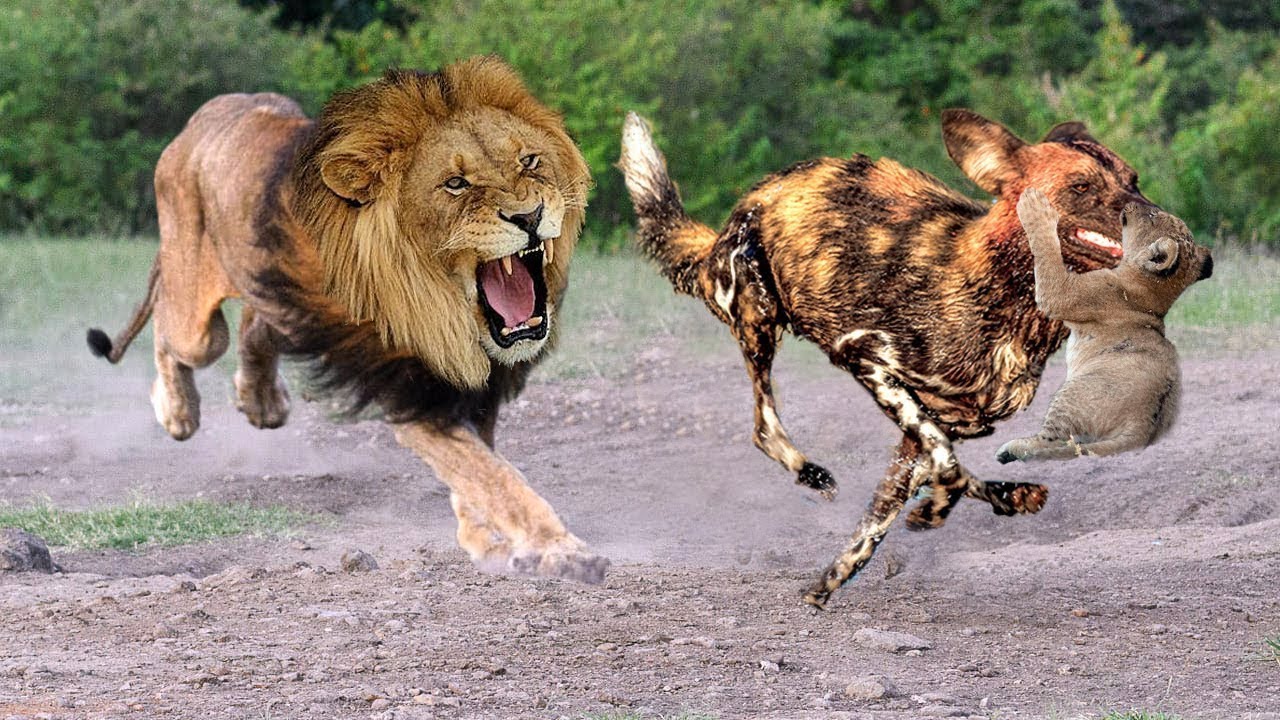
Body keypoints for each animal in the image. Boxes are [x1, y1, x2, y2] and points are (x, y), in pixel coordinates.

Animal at [86, 56, 606, 582]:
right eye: (455, 184)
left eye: (530, 161)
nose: (530, 216)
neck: (455, 312)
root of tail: (204, 117)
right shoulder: (413, 386)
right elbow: (494, 476)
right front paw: (561, 550)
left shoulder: (470, 386)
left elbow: (483, 468)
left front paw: (488, 541)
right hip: (196, 315)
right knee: (172, 330)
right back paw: (178, 411)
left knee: (258, 321)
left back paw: (261, 401)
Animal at [996, 187, 1213, 462]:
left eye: (1152, 215)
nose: (1133, 202)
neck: (1147, 293)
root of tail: (1143, 424)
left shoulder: (1064, 293)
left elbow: (1048, 253)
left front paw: (1036, 205)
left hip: (1073, 391)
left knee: (1055, 443)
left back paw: (1012, 449)